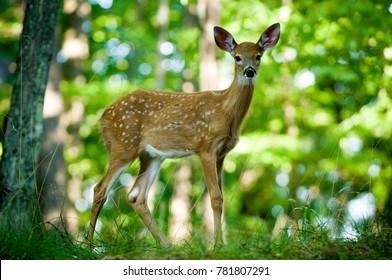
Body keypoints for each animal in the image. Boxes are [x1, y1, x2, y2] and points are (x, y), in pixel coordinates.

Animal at [87, 23, 280, 248]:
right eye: (237, 57)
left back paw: (166, 244)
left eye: (258, 56)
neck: (225, 112)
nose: (250, 71)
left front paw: (221, 243)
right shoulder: (205, 147)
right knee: (100, 188)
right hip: (123, 144)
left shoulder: (222, 153)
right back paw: (88, 243)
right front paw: (216, 245)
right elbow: (215, 198)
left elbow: (222, 197)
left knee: (136, 196)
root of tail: (103, 116)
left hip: (151, 155)